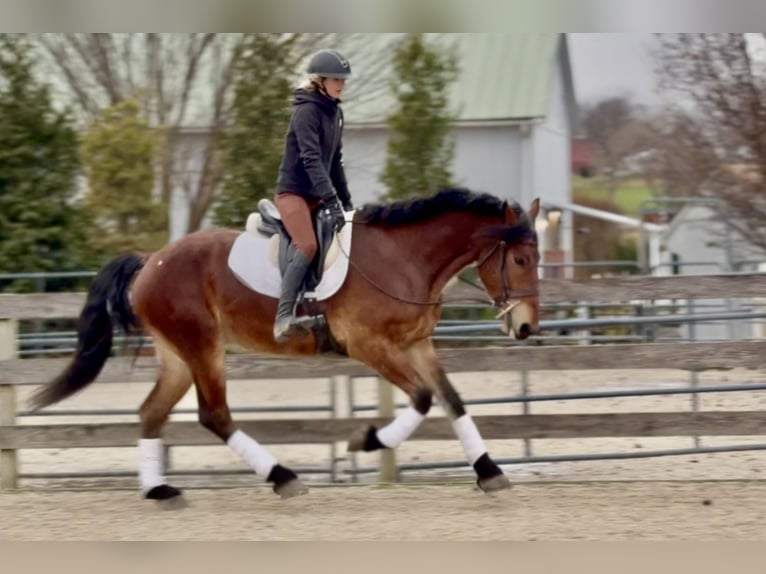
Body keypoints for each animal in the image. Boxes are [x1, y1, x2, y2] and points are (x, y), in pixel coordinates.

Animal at [30, 187, 541, 505]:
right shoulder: (370, 344)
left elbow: (451, 400)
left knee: (152, 412)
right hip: (203, 347)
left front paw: (489, 472)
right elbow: (421, 398)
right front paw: (366, 440)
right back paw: (284, 479)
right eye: (519, 259)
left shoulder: (416, 344)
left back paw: (159, 491)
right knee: (214, 415)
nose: (526, 328)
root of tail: (150, 260)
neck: (403, 257)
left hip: (177, 355)